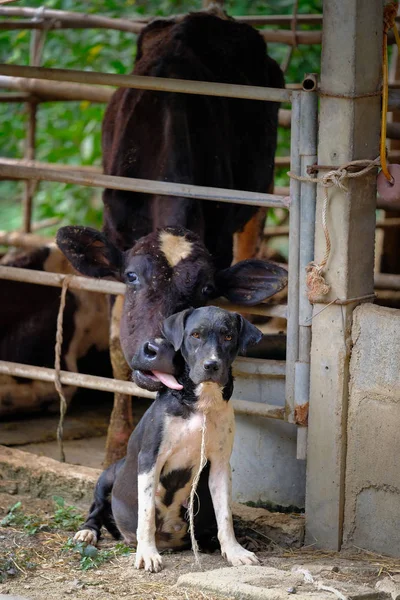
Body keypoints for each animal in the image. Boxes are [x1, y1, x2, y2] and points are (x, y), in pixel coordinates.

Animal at [57, 10, 288, 464]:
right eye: (131, 277)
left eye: (205, 289)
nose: (160, 350)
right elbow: (116, 345)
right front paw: (115, 447)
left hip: (262, 187)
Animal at [74, 310, 262, 572]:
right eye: (195, 335)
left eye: (228, 336)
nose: (211, 365)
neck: (199, 404)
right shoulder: (150, 459)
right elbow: (146, 514)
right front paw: (147, 553)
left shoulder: (220, 465)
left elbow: (225, 515)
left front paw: (235, 551)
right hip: (108, 475)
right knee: (96, 508)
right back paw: (87, 532)